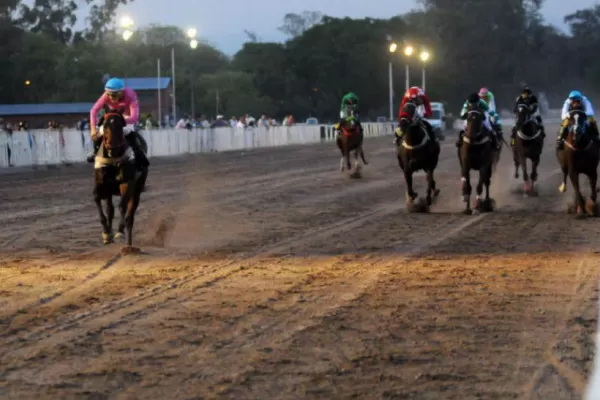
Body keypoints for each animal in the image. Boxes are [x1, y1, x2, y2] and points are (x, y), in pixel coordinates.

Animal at [95, 108, 150, 248]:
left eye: (120, 125)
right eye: (105, 125)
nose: (112, 147)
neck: (113, 160)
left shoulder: (126, 183)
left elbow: (122, 206)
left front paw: (120, 232)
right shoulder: (101, 185)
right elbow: (98, 200)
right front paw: (106, 233)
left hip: (137, 190)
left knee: (130, 216)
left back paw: (129, 244)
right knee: (110, 210)